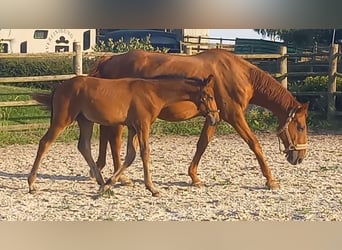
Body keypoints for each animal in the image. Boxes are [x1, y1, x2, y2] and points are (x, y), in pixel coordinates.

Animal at [27, 75, 219, 196]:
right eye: (209, 96)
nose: (215, 117)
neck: (153, 92)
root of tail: (60, 86)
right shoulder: (143, 125)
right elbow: (145, 153)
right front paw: (152, 188)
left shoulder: (133, 128)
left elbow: (131, 155)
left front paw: (110, 183)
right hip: (62, 120)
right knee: (45, 143)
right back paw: (32, 184)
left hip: (85, 121)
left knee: (84, 146)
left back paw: (101, 182)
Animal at [89, 48, 310, 189]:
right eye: (300, 127)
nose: (300, 157)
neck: (238, 74)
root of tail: (108, 59)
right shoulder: (234, 115)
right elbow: (254, 144)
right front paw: (270, 180)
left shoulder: (215, 117)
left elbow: (202, 143)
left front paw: (194, 177)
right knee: (114, 141)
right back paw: (122, 177)